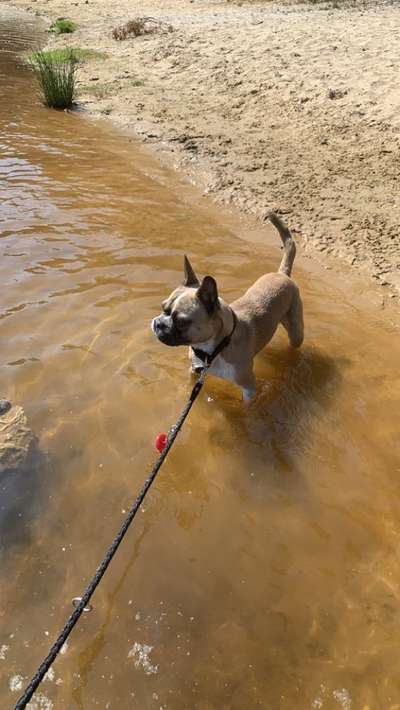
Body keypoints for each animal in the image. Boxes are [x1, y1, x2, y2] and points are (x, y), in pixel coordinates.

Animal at [152, 211, 304, 400]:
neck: (213, 350)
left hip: (296, 332)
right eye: (162, 307)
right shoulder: (194, 372)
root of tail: (282, 273)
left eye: (181, 321)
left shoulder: (249, 389)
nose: (158, 323)